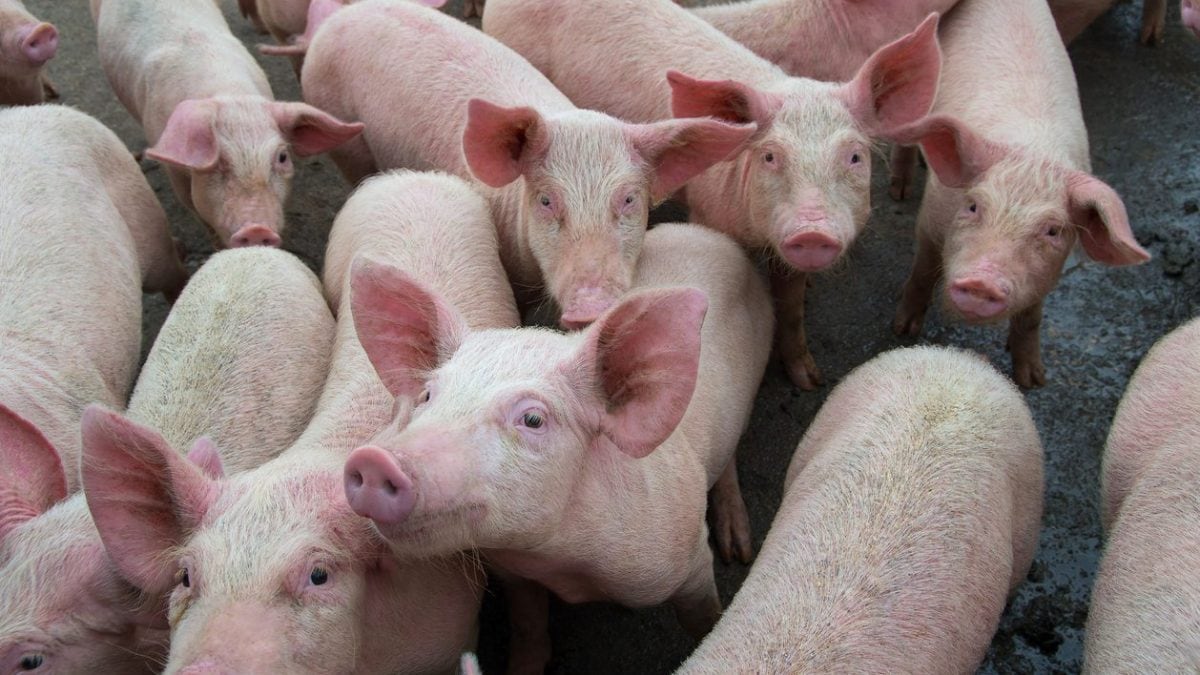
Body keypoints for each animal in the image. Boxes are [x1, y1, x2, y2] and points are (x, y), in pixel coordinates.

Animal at [343, 222, 773, 670]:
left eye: (533, 419)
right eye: (428, 395)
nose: (375, 460)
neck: (559, 564)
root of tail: (703, 232)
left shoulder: (688, 560)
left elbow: (701, 616)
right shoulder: (515, 574)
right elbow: (528, 625)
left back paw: (738, 546)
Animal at [483, 0, 942, 389]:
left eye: (854, 156)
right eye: (770, 156)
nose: (813, 230)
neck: (757, 235)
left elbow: (792, 307)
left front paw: (810, 381)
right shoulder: (706, 208)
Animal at [888, 0, 1150, 389]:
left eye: (1053, 230)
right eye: (972, 206)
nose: (982, 281)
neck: (1033, 153)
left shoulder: (1051, 272)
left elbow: (1032, 317)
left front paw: (1032, 379)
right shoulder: (931, 219)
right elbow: (922, 271)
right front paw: (903, 330)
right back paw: (900, 188)